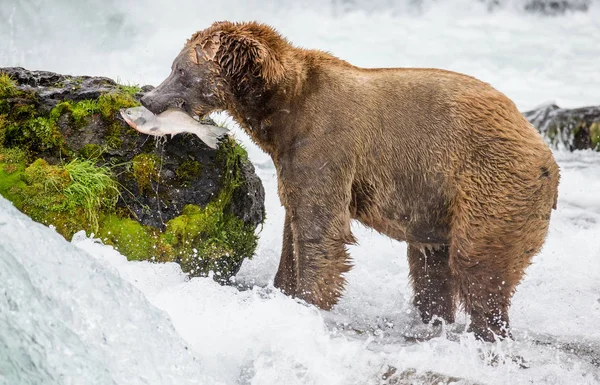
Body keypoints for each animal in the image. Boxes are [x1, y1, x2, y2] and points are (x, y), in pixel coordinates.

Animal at [139, 21, 556, 340]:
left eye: (179, 70)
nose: (147, 97)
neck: (280, 111)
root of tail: (541, 146)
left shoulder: (327, 145)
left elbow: (321, 233)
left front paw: (307, 303)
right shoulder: (292, 162)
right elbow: (294, 229)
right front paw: (282, 291)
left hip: (490, 182)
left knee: (478, 264)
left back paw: (488, 330)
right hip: (438, 202)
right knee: (430, 266)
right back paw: (433, 321)